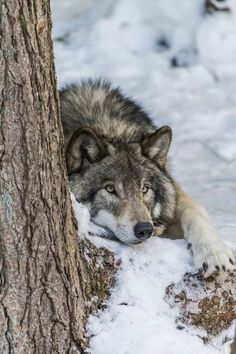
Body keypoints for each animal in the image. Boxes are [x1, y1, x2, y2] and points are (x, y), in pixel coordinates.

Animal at [60, 79, 235, 276]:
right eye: (110, 189)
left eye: (145, 189)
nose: (145, 229)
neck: (111, 130)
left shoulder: (174, 193)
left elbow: (193, 211)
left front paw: (214, 253)